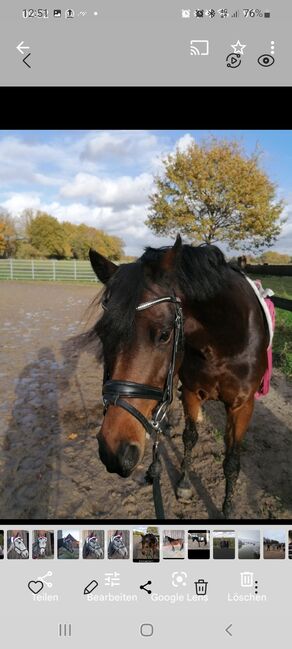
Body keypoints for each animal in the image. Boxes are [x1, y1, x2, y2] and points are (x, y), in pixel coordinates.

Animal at [89, 234, 270, 516]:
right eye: (101, 333)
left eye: (164, 334)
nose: (113, 452)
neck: (224, 340)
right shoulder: (192, 392)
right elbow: (189, 438)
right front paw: (184, 483)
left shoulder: (242, 405)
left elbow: (232, 461)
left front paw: (227, 508)